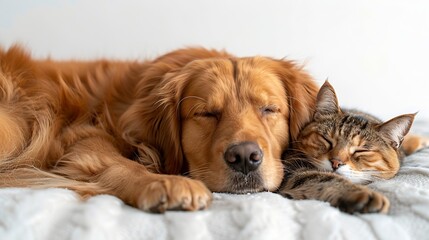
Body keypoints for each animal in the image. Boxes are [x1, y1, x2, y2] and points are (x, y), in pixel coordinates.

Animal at [0, 46, 318, 213]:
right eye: (206, 113)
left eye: (269, 109)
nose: (244, 158)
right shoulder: (81, 141)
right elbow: (122, 164)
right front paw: (165, 183)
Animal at [276, 81, 422, 214]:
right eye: (327, 140)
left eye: (361, 150)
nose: (335, 162)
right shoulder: (291, 169)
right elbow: (322, 177)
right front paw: (363, 194)